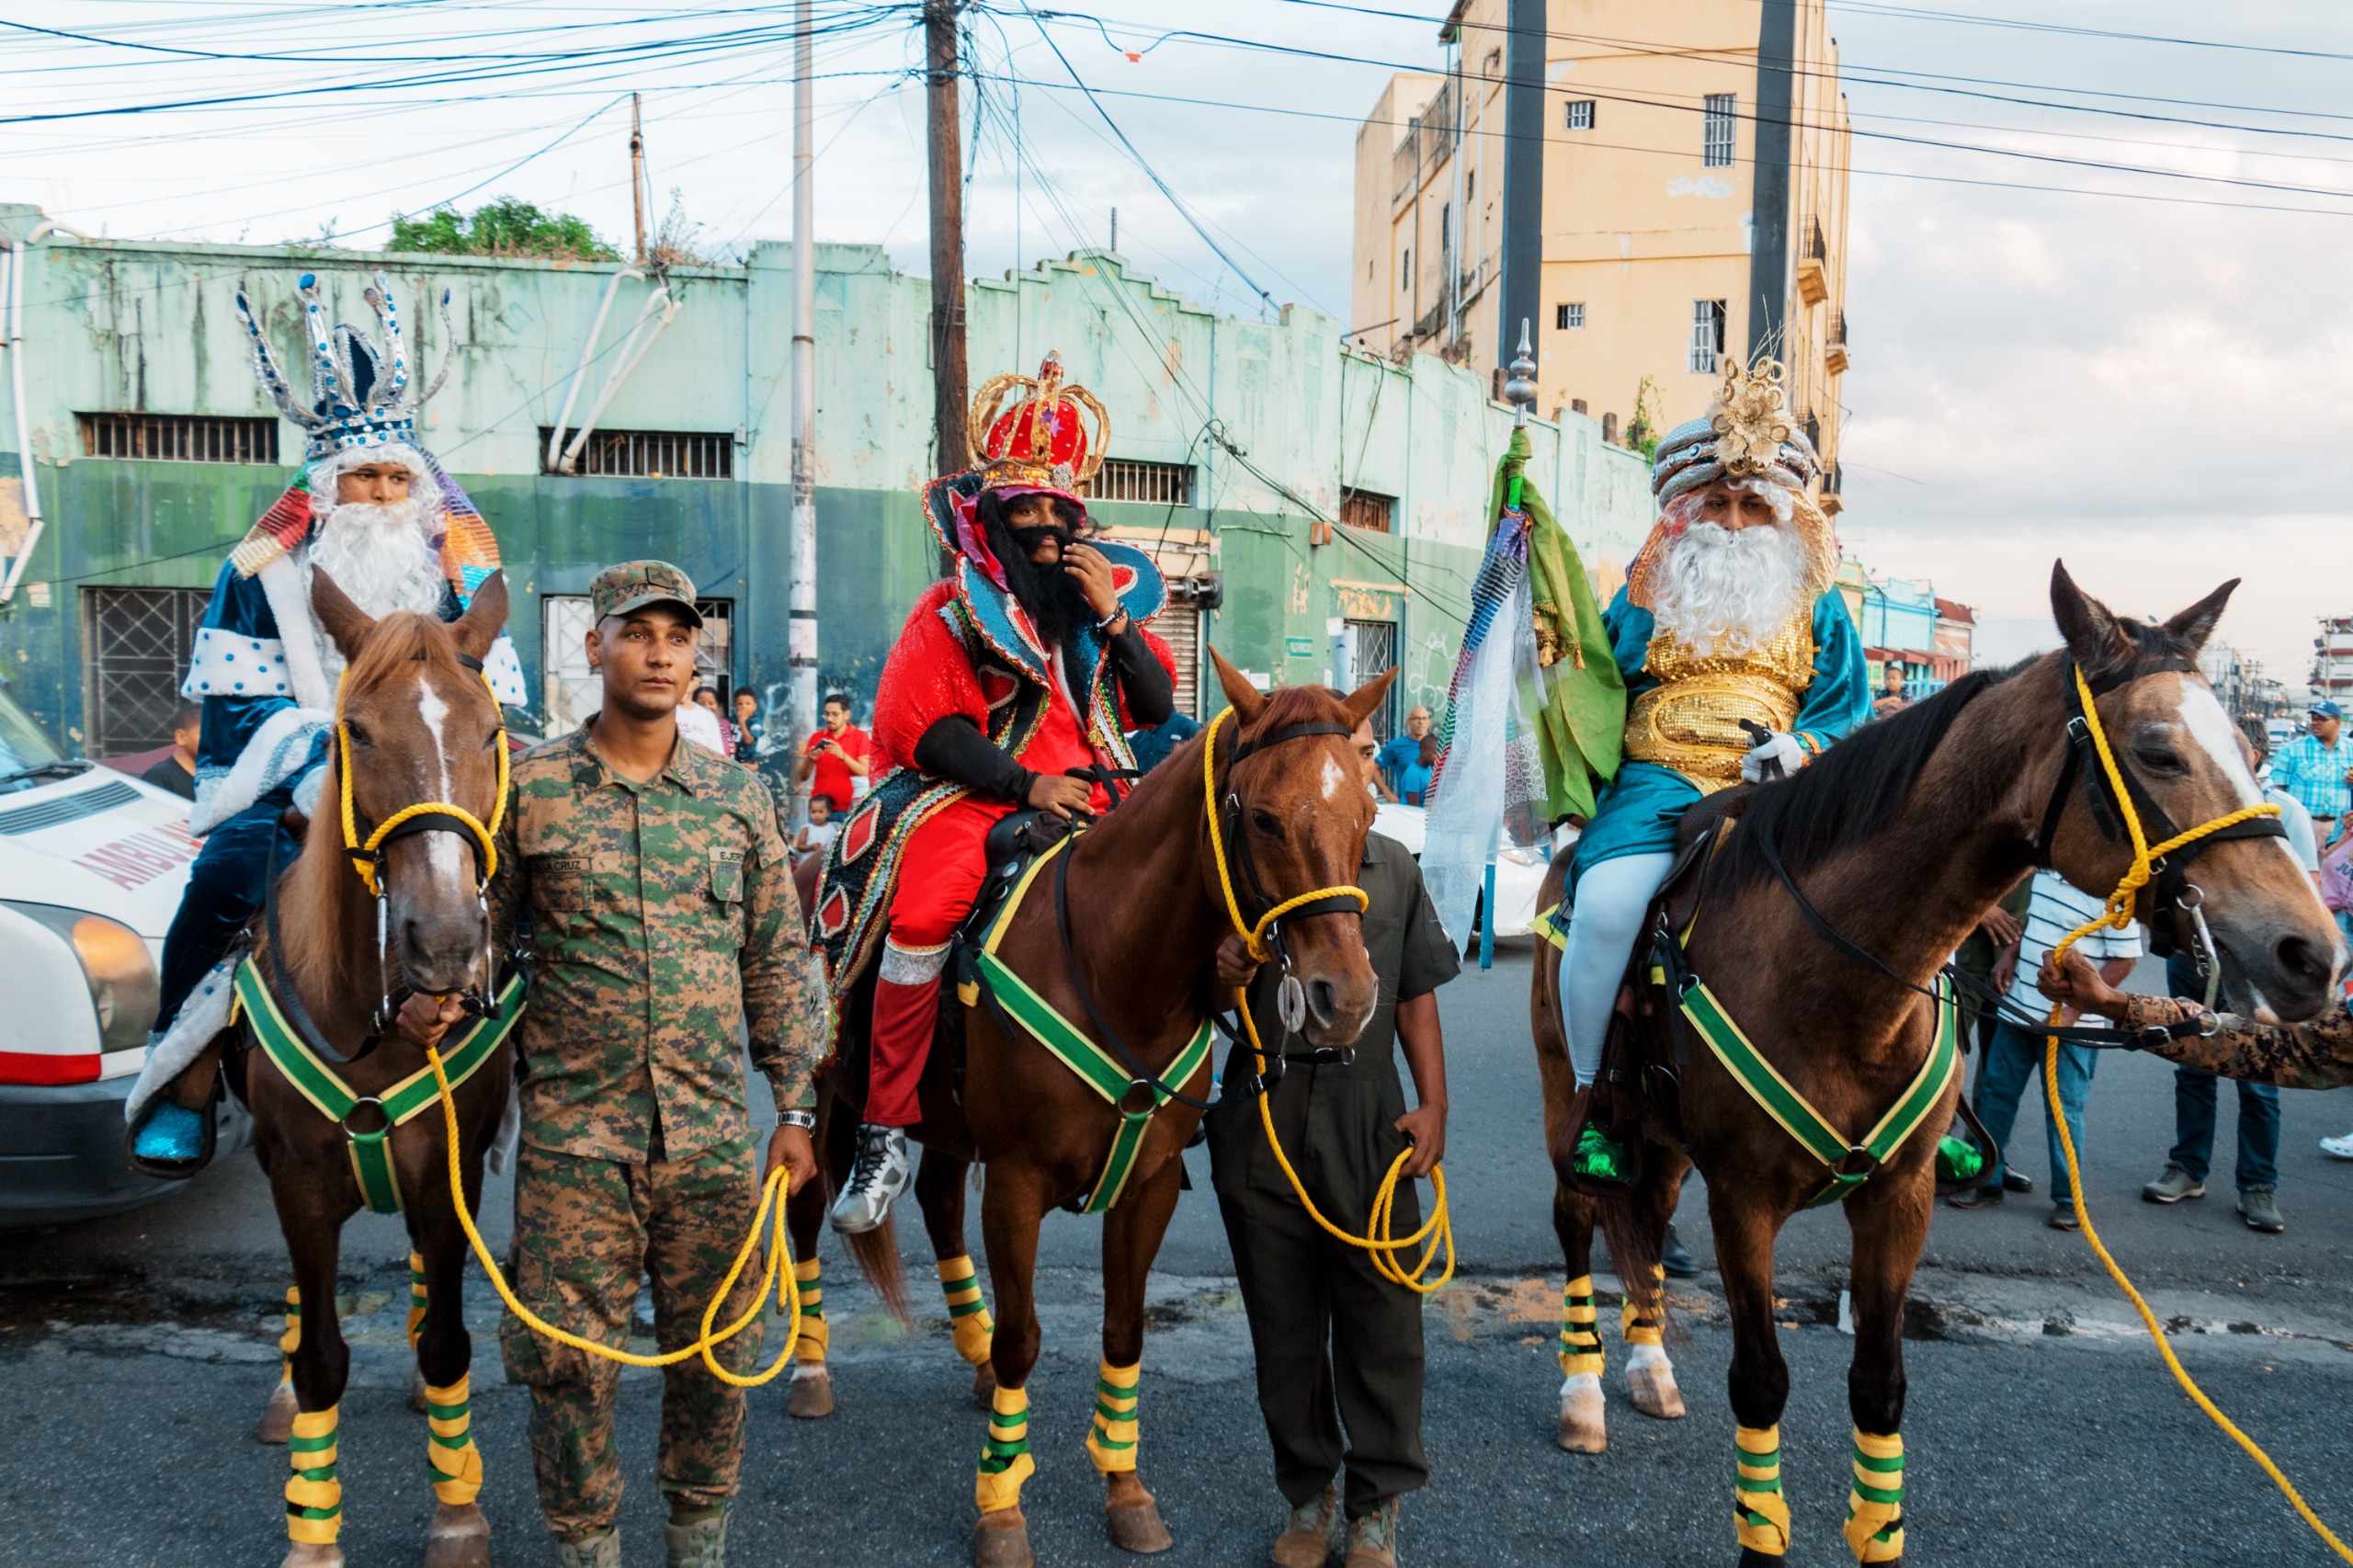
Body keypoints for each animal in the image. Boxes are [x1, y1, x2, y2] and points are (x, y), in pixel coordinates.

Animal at [238, 572, 515, 1562]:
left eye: (491, 730)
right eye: (353, 730)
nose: (445, 944)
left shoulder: (449, 1173)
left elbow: (446, 1342)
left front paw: (458, 1511)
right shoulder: (298, 1183)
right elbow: (320, 1354)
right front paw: (312, 1532)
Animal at [1552, 564, 2343, 1562]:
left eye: (2247, 744)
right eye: (2157, 750)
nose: (2311, 952)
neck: (1843, 976)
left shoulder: (1901, 1197)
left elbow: (1880, 1387)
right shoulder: (1744, 1200)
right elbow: (1761, 1382)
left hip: (1664, 1140)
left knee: (1648, 1229)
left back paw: (1651, 1369)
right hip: (1573, 1106)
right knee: (1581, 1222)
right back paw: (1581, 1393)